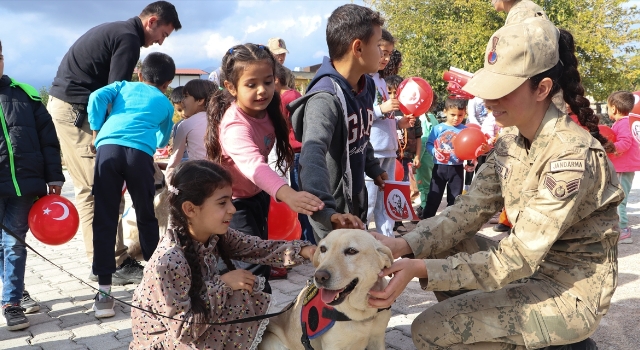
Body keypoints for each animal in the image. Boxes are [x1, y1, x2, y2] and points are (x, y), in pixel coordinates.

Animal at [258, 230, 392, 350]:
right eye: (323, 249)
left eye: (351, 251)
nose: (319, 276)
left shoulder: (377, 339)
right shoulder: (333, 345)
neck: (361, 314)